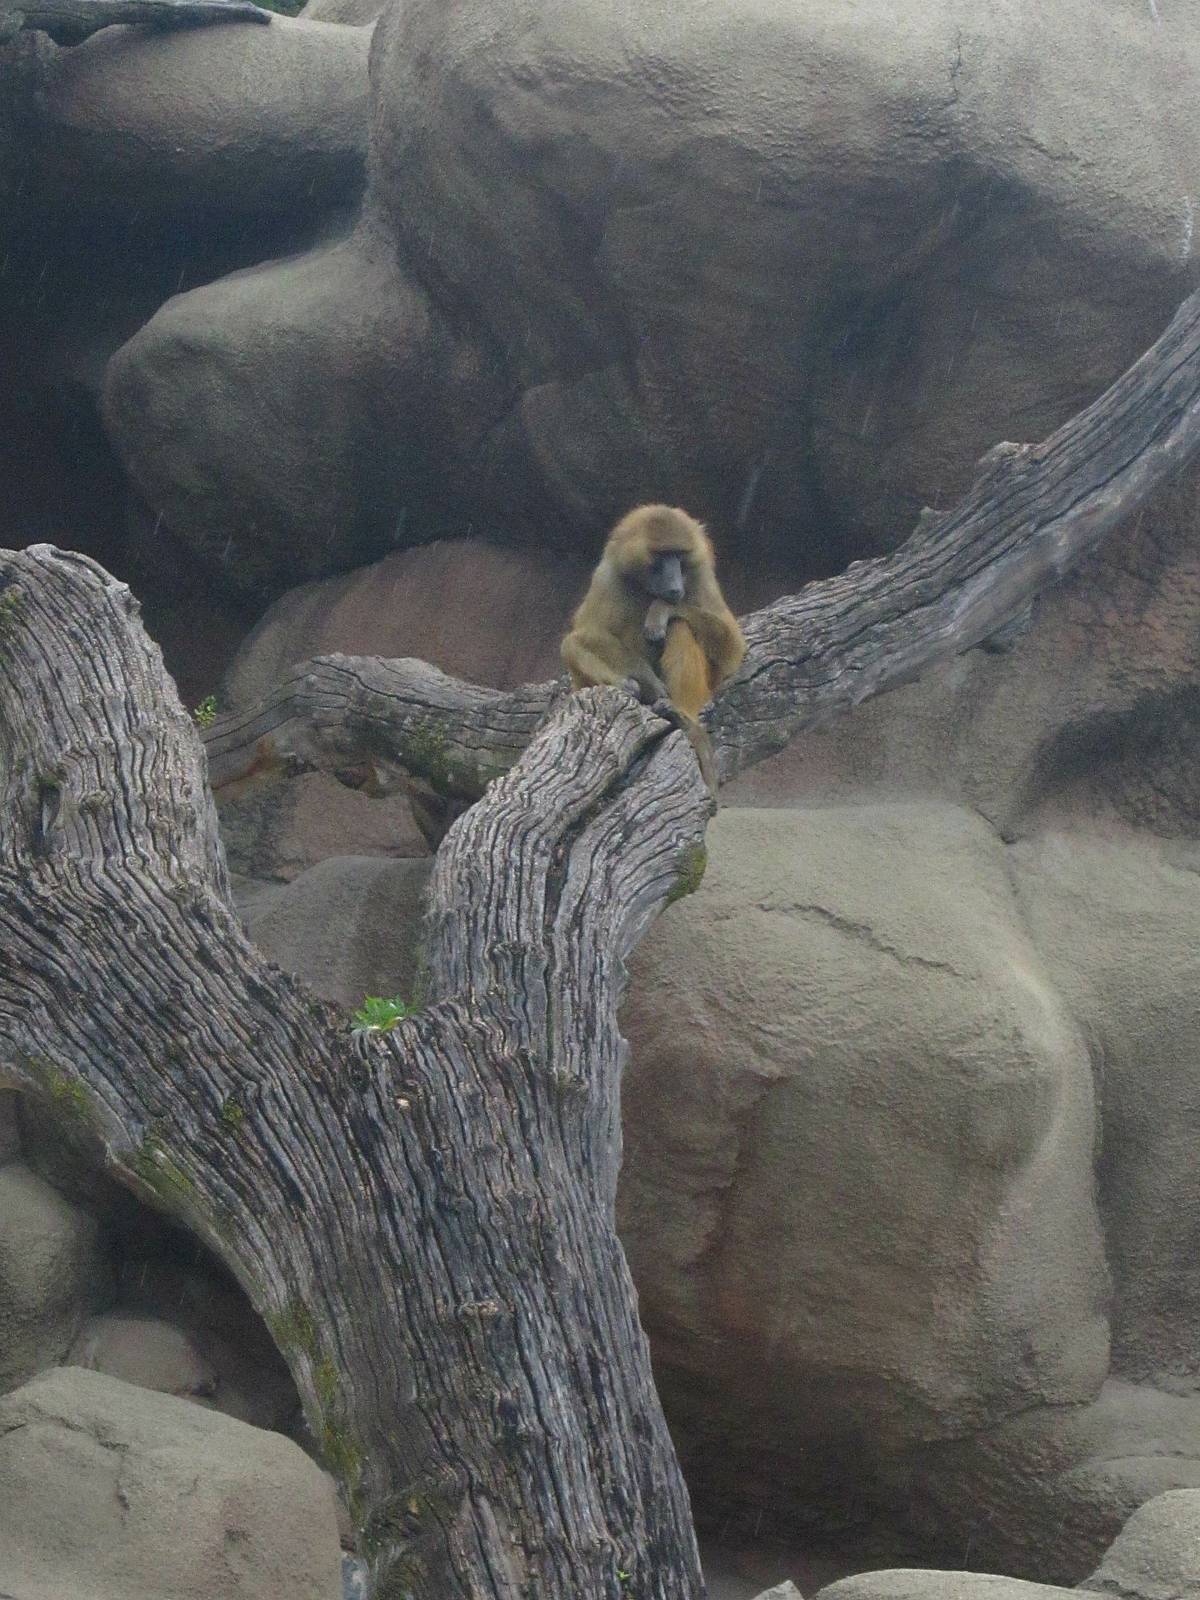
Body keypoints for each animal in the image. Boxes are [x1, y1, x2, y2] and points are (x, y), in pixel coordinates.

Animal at [561, 505, 746, 790]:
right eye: (661, 556)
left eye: (679, 556)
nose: (675, 587)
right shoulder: (608, 574)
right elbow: (586, 634)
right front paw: (648, 682)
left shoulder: (701, 573)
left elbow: (731, 650)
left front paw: (661, 609)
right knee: (573, 644)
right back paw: (629, 686)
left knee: (680, 626)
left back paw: (683, 718)